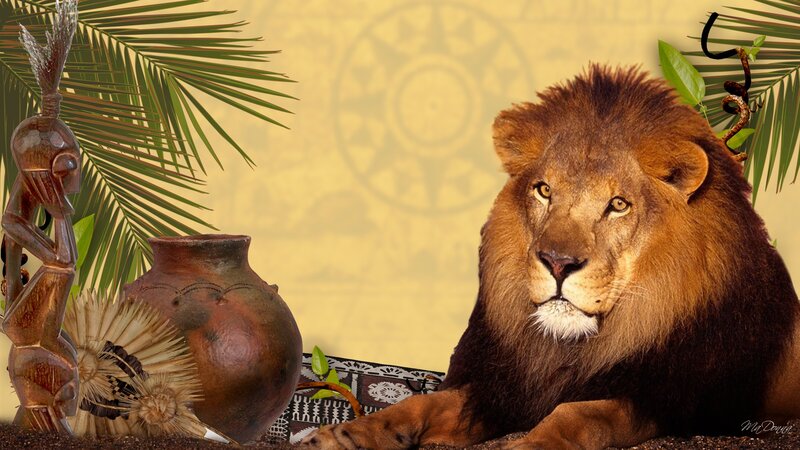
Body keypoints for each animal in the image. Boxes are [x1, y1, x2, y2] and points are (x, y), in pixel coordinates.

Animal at [299, 65, 800, 449]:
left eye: (618, 204)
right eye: (544, 191)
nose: (558, 263)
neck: (571, 347)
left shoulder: (664, 398)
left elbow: (579, 414)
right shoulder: (504, 387)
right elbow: (421, 401)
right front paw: (343, 435)